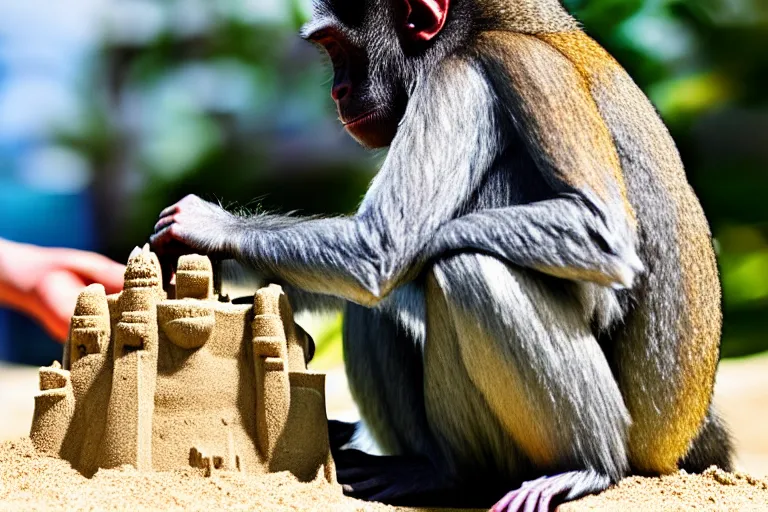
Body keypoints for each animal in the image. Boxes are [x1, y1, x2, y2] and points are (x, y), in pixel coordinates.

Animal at [150, 0, 732, 510]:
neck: (483, 24)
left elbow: (390, 249)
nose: (338, 92)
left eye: (339, 47)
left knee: (463, 266)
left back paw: (564, 467)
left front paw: (211, 231)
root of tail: (669, 441)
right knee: (374, 306)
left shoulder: (467, 73)